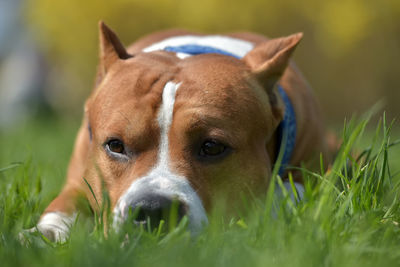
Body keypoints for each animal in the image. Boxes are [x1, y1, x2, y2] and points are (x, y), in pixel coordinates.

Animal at [26, 21, 332, 243]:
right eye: (115, 145)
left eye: (212, 147)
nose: (152, 210)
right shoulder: (79, 179)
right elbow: (64, 206)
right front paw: (41, 236)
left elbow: (291, 191)